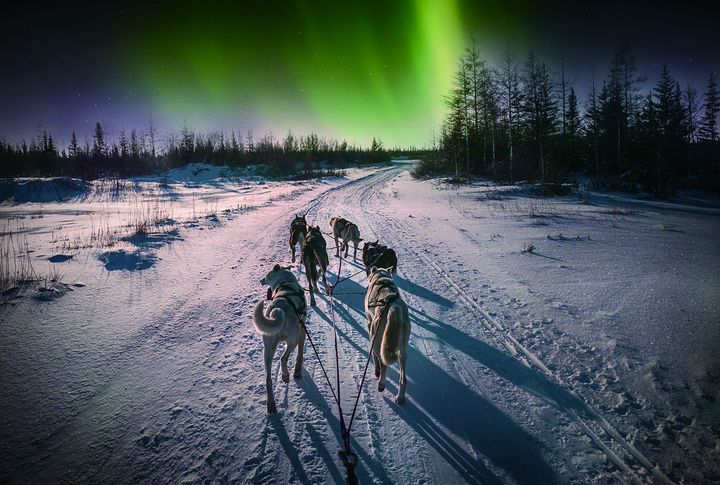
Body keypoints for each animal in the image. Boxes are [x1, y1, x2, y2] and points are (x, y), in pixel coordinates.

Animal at [253, 264, 306, 412]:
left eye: (266, 276)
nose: (261, 280)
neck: (285, 283)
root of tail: (277, 310)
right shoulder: (302, 331)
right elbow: (300, 353)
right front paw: (297, 371)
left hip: (267, 350)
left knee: (268, 379)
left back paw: (271, 405)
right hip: (293, 340)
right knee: (283, 358)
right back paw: (286, 376)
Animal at [366, 266, 410, 402]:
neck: (382, 277)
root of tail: (394, 307)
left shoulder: (370, 324)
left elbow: (375, 358)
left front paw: (376, 371)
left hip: (377, 340)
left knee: (383, 364)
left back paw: (381, 384)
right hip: (403, 351)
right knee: (403, 379)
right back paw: (400, 398)